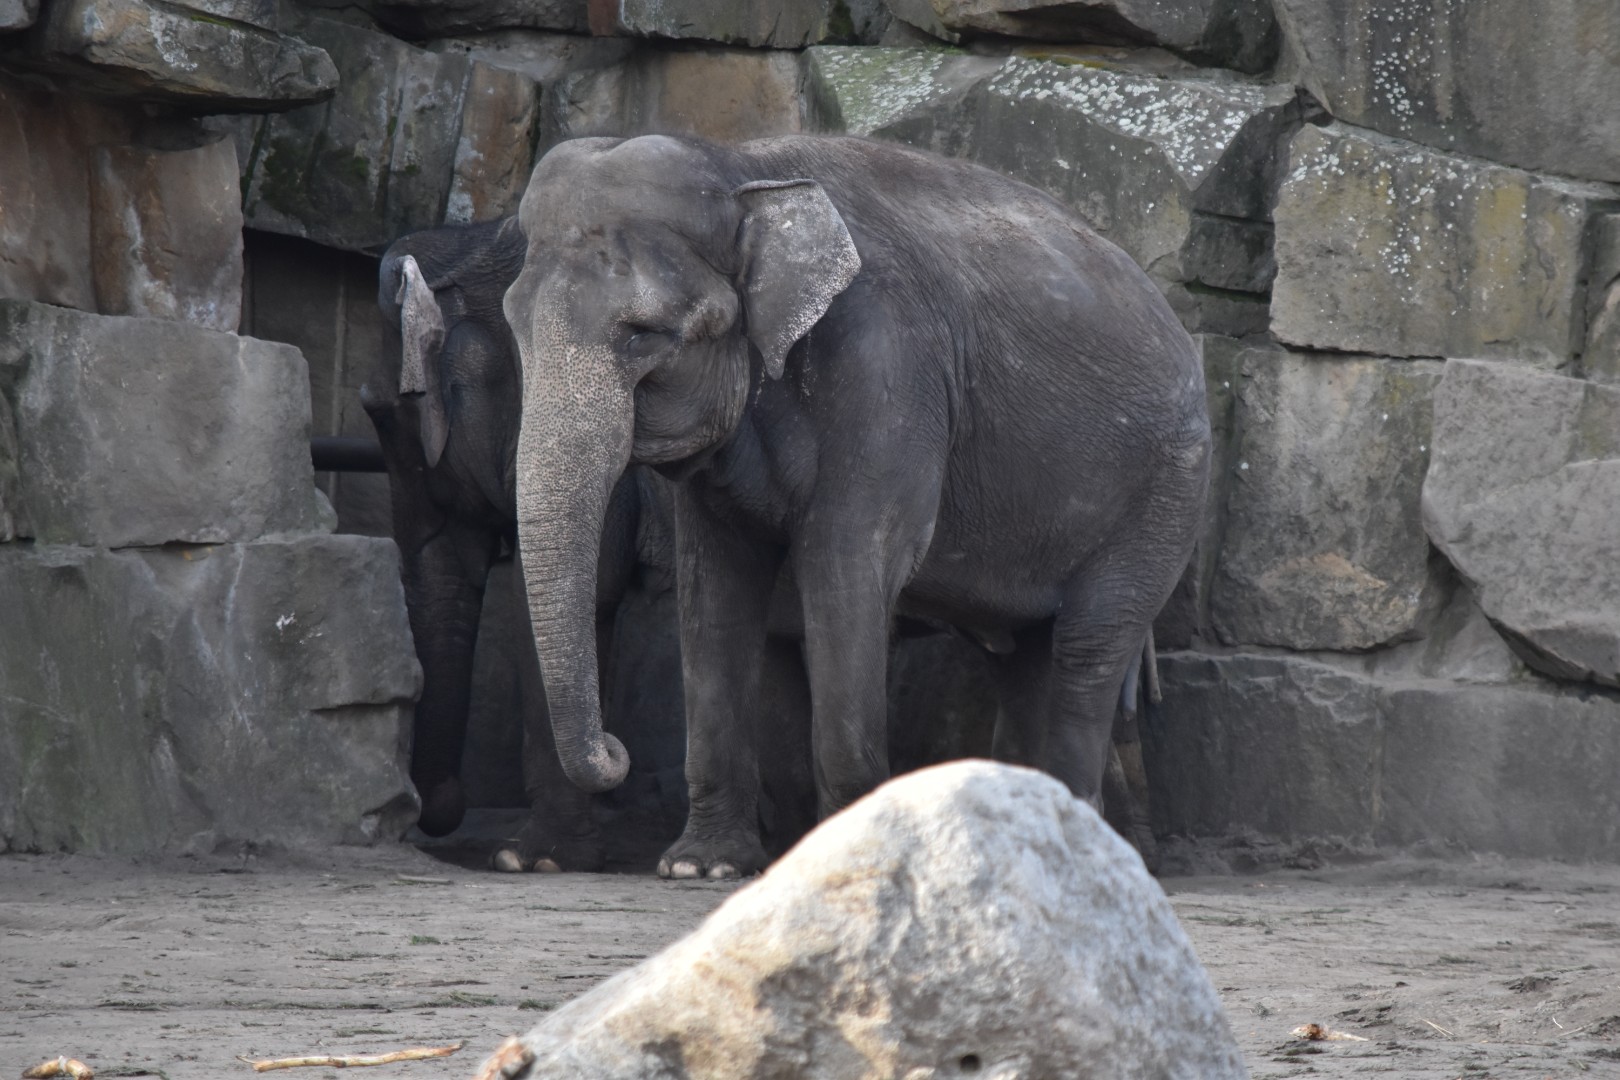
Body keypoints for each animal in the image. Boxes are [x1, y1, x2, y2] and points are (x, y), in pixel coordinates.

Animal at [501, 134, 1211, 880]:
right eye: (514, 329)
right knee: (1025, 656)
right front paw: (704, 867)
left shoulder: (888, 368)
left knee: (1087, 648)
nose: (617, 751)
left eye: (643, 333)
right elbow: (715, 588)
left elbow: (845, 562)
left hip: (1165, 494)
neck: (740, 170)